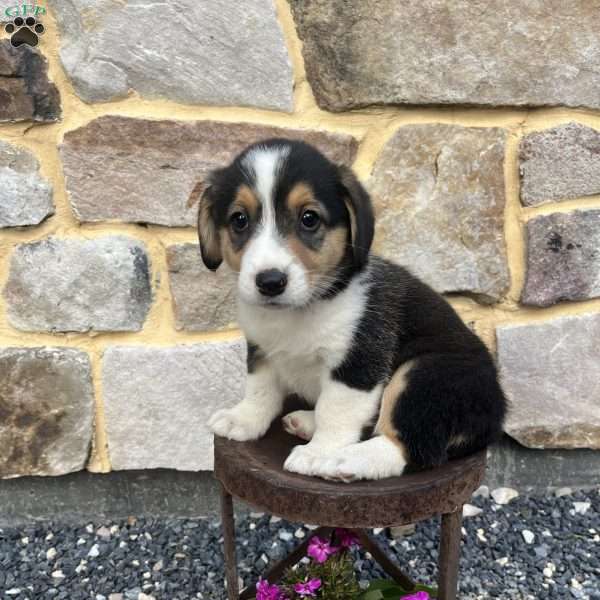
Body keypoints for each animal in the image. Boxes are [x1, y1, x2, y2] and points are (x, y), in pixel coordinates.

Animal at [196, 139, 506, 482]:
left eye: (309, 218)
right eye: (239, 220)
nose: (270, 282)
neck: (301, 310)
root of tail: (496, 416)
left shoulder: (356, 364)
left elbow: (335, 411)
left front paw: (319, 453)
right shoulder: (261, 349)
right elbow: (260, 389)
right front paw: (243, 420)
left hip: (426, 373)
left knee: (410, 447)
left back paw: (342, 461)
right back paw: (307, 422)